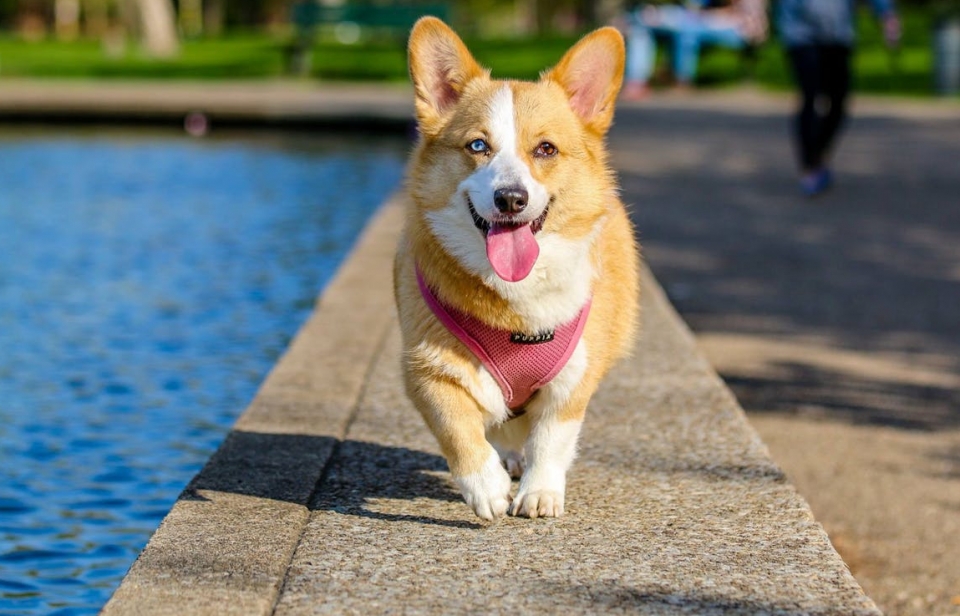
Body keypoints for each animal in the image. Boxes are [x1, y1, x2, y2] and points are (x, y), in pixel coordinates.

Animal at [394, 18, 640, 520]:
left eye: (545, 149)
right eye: (477, 145)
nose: (511, 199)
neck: (516, 299)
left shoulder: (573, 379)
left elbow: (551, 439)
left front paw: (539, 493)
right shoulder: (427, 370)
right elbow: (458, 429)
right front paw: (485, 487)